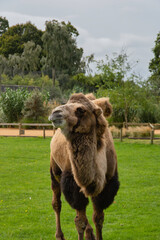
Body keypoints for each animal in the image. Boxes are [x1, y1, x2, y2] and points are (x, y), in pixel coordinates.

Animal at [49, 93, 120, 240]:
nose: (55, 112)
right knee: (57, 203)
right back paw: (59, 235)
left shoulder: (107, 187)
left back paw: (89, 234)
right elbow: (79, 221)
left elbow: (98, 218)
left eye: (80, 110)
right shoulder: (73, 185)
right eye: (67, 103)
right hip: (54, 169)